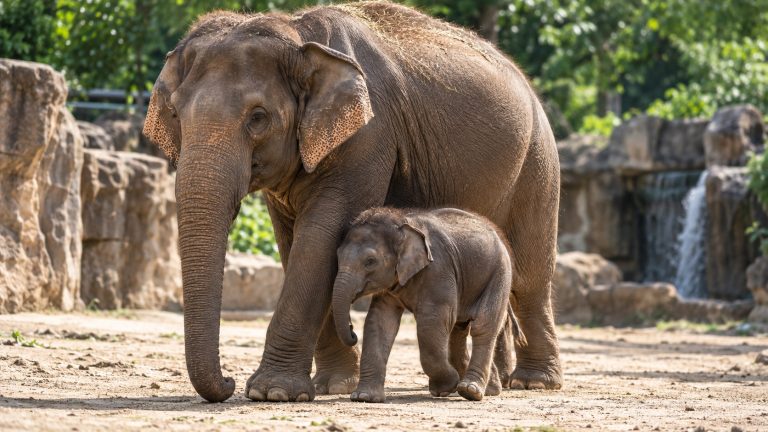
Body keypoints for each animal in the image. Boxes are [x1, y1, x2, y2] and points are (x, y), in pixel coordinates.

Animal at [331, 207, 528, 402]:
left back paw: (471, 390)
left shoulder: (438, 270)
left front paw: (445, 387)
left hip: (499, 274)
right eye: (338, 256)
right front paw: (364, 397)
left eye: (370, 261)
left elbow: (432, 322)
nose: (353, 332)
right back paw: (488, 390)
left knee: (484, 326)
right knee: (459, 329)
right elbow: (380, 321)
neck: (403, 223)